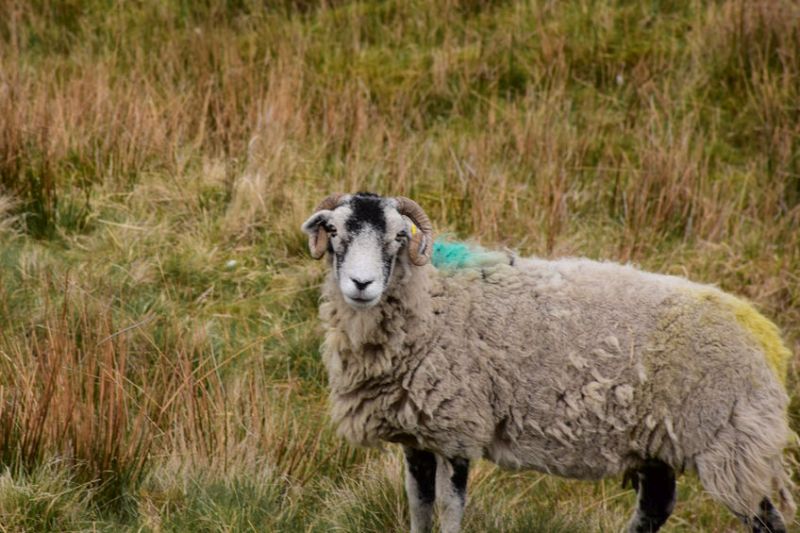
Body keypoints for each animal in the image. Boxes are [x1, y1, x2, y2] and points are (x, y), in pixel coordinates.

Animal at [300, 191, 792, 532]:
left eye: (398, 237)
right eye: (336, 233)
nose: (361, 284)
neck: (433, 302)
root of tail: (766, 336)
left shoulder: (460, 428)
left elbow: (449, 509)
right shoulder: (417, 435)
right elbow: (418, 509)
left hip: (731, 445)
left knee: (764, 518)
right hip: (660, 442)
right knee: (656, 505)